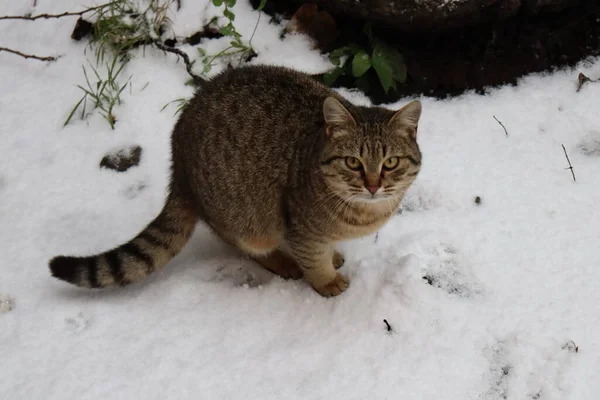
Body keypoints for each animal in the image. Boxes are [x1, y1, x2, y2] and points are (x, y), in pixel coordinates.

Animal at [48, 65, 422, 296]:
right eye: (352, 162)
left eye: (390, 162)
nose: (373, 185)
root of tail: (178, 162)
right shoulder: (301, 228)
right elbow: (313, 260)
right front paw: (326, 280)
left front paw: (333, 258)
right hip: (246, 217)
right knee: (243, 244)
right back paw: (282, 261)